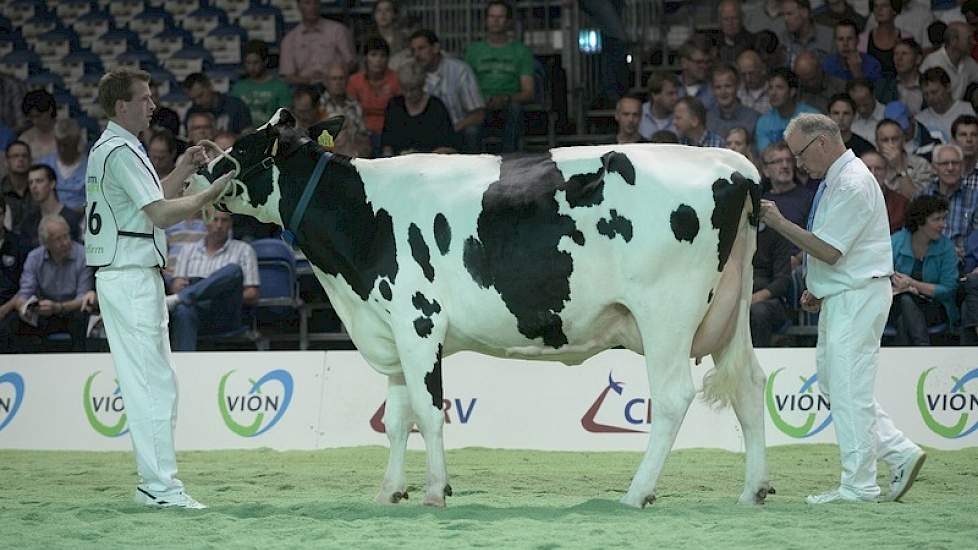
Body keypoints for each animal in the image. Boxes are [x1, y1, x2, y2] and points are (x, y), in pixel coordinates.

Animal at [189, 110, 772, 512]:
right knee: (748, 384)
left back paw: (636, 493)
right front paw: (389, 492)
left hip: (665, 313)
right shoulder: (391, 327)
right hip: (729, 314)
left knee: (672, 398)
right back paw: (753, 490)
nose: (196, 173)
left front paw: (434, 492)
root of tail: (731, 164)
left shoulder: (419, 321)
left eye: (244, 144)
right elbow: (396, 420)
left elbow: (428, 413)